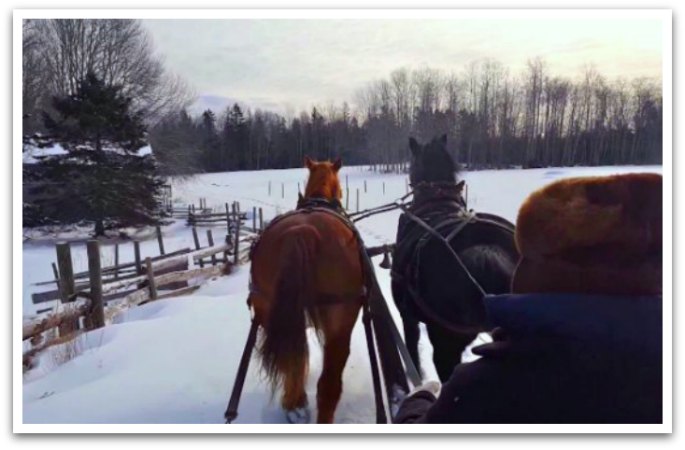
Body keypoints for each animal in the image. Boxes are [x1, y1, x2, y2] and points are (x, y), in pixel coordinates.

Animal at [247, 156, 364, 424]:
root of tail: (300, 232)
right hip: (340, 321)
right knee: (329, 385)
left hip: (269, 311)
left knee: (292, 361)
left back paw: (295, 405)